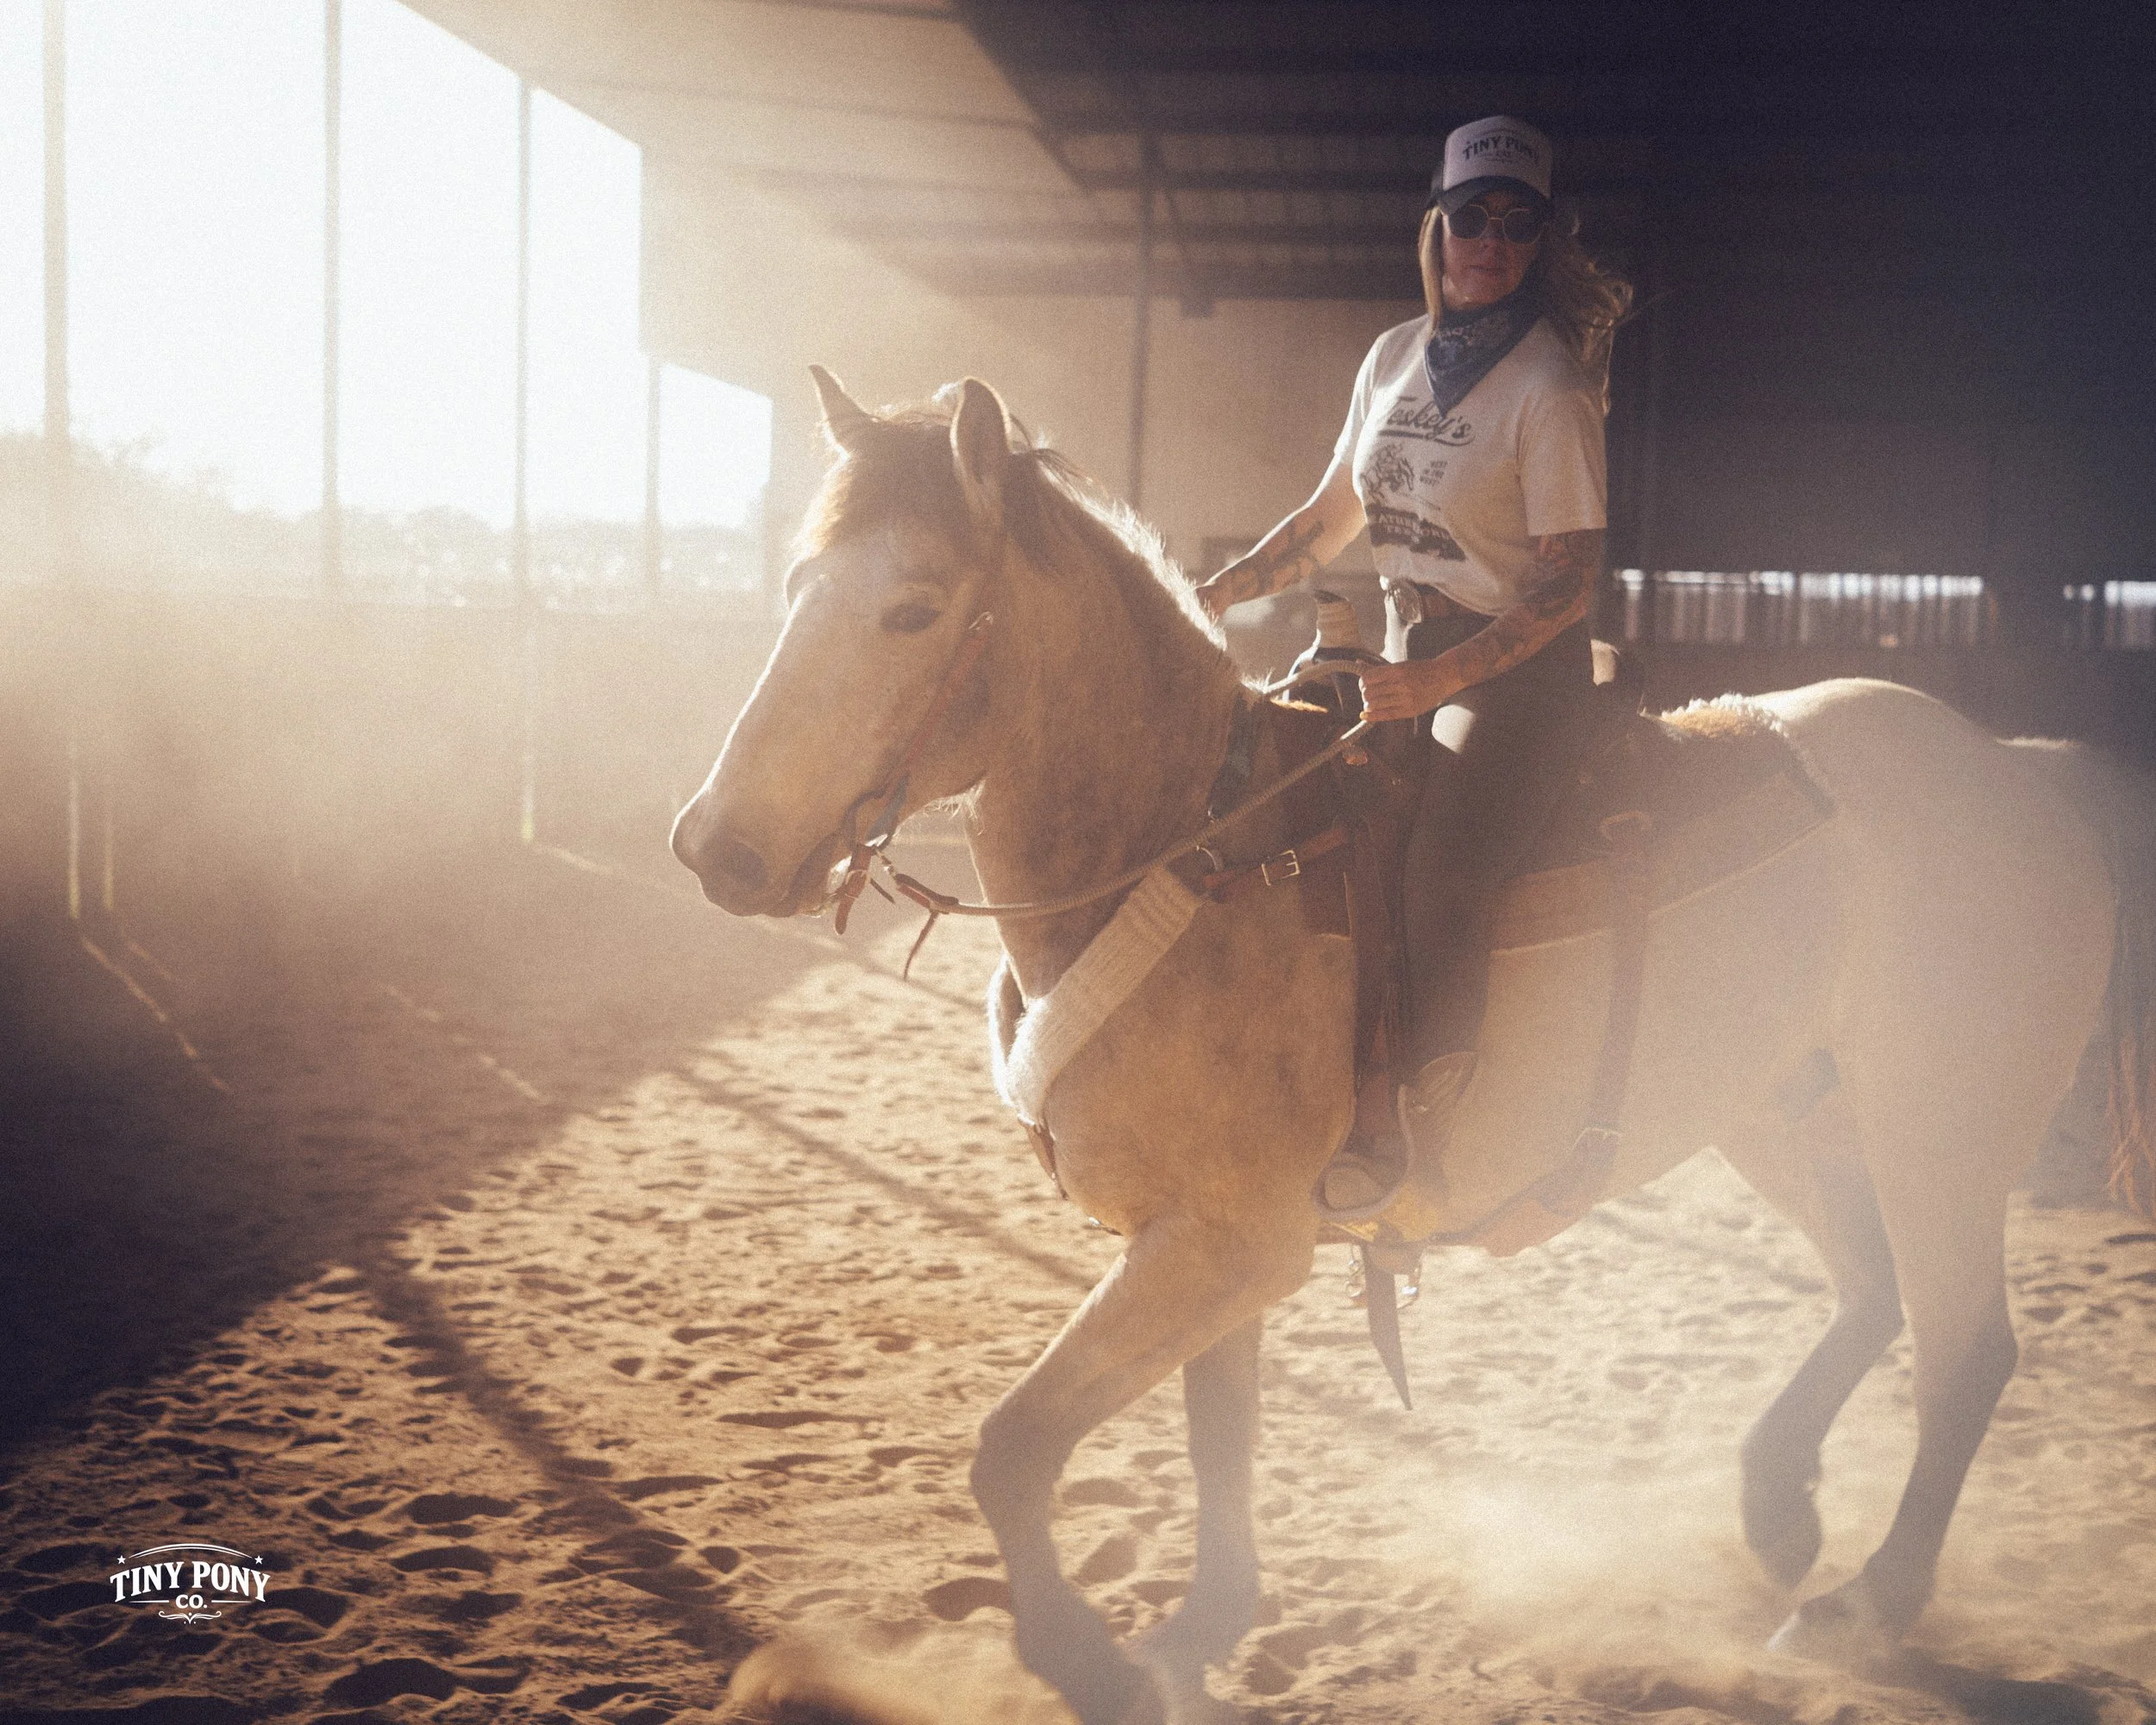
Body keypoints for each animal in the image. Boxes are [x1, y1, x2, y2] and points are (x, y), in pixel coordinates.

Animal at [670, 370, 2156, 1725]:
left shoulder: (1226, 1245)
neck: (1196, 851)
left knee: (1965, 1354)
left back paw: (1862, 1606)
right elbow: (1217, 1437)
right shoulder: (1206, 1243)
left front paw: (1088, 1663)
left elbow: (1015, 1449)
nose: (715, 850)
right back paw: (1778, 1509)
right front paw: (1202, 1626)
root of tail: (2026, 775)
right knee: (1871, 1293)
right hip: (1785, 1115)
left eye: (913, 608)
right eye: (797, 585)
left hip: (1937, 1141)